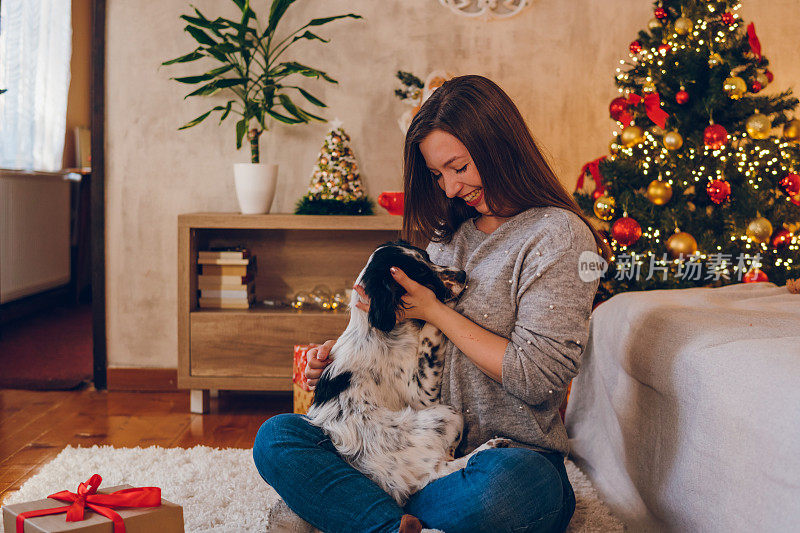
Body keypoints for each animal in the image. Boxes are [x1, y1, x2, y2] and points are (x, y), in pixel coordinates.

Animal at [304, 240, 506, 502]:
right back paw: (492, 446)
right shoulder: (421, 395)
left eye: (427, 257)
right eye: (419, 273)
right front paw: (440, 309)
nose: (462, 274)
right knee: (440, 469)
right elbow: (430, 333)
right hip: (447, 415)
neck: (376, 330)